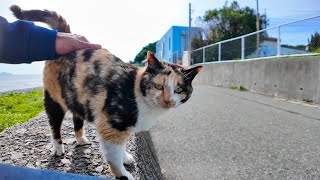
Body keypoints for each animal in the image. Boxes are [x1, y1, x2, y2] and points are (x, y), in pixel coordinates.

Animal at [11, 4, 202, 180]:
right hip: (54, 99)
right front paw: (123, 175)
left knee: (77, 116)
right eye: (158, 86)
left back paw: (81, 139)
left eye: (179, 89)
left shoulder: (125, 126)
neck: (138, 94)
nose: (168, 100)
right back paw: (58, 147)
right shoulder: (111, 125)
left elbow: (122, 145)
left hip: (77, 95)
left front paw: (125, 157)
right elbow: (113, 157)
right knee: (54, 124)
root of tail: (66, 34)